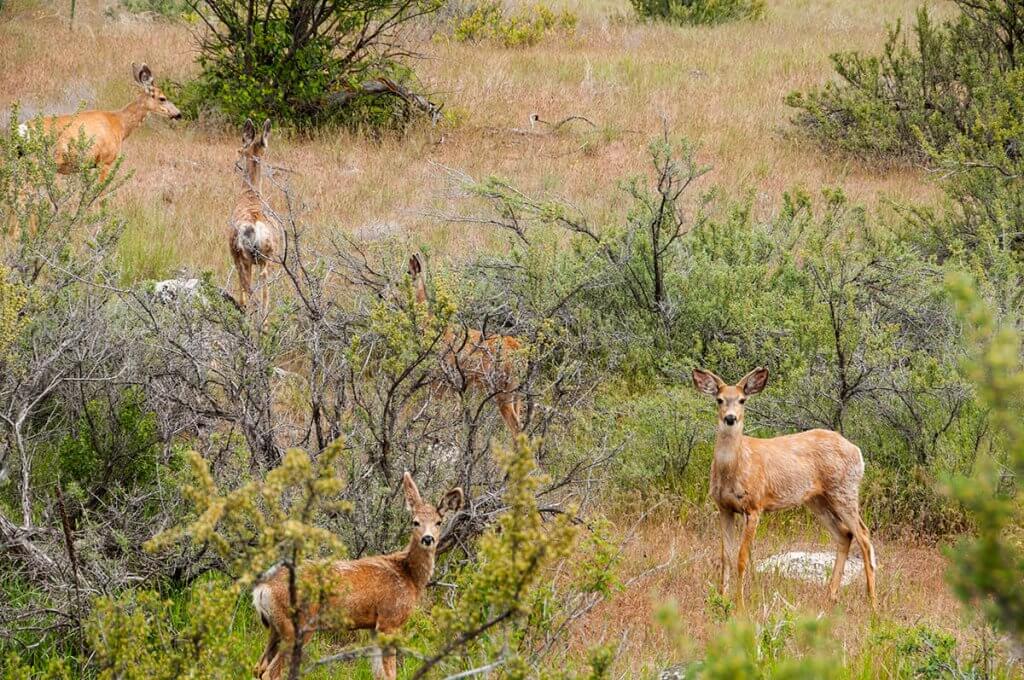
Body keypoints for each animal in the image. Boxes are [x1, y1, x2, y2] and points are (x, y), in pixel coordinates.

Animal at [229, 118, 279, 313]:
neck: (249, 194)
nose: (235, 163)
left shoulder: (233, 254)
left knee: (249, 293)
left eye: (239, 150)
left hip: (245, 257)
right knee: (265, 296)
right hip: (269, 257)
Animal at [252, 472, 463, 680]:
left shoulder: (373, 627)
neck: (409, 575)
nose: (428, 539)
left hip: (275, 628)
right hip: (298, 626)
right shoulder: (390, 620)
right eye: (415, 522)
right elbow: (390, 674)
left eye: (438, 522)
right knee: (270, 673)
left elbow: (379, 674)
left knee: (258, 667)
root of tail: (263, 589)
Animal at [691, 367, 877, 611]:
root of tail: (858, 451)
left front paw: (740, 605)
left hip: (844, 490)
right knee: (844, 534)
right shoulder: (724, 507)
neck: (735, 467)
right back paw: (830, 597)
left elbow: (741, 558)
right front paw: (721, 601)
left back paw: (873, 604)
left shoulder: (754, 506)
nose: (730, 418)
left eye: (742, 400)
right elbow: (726, 557)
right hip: (817, 499)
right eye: (719, 399)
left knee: (864, 535)